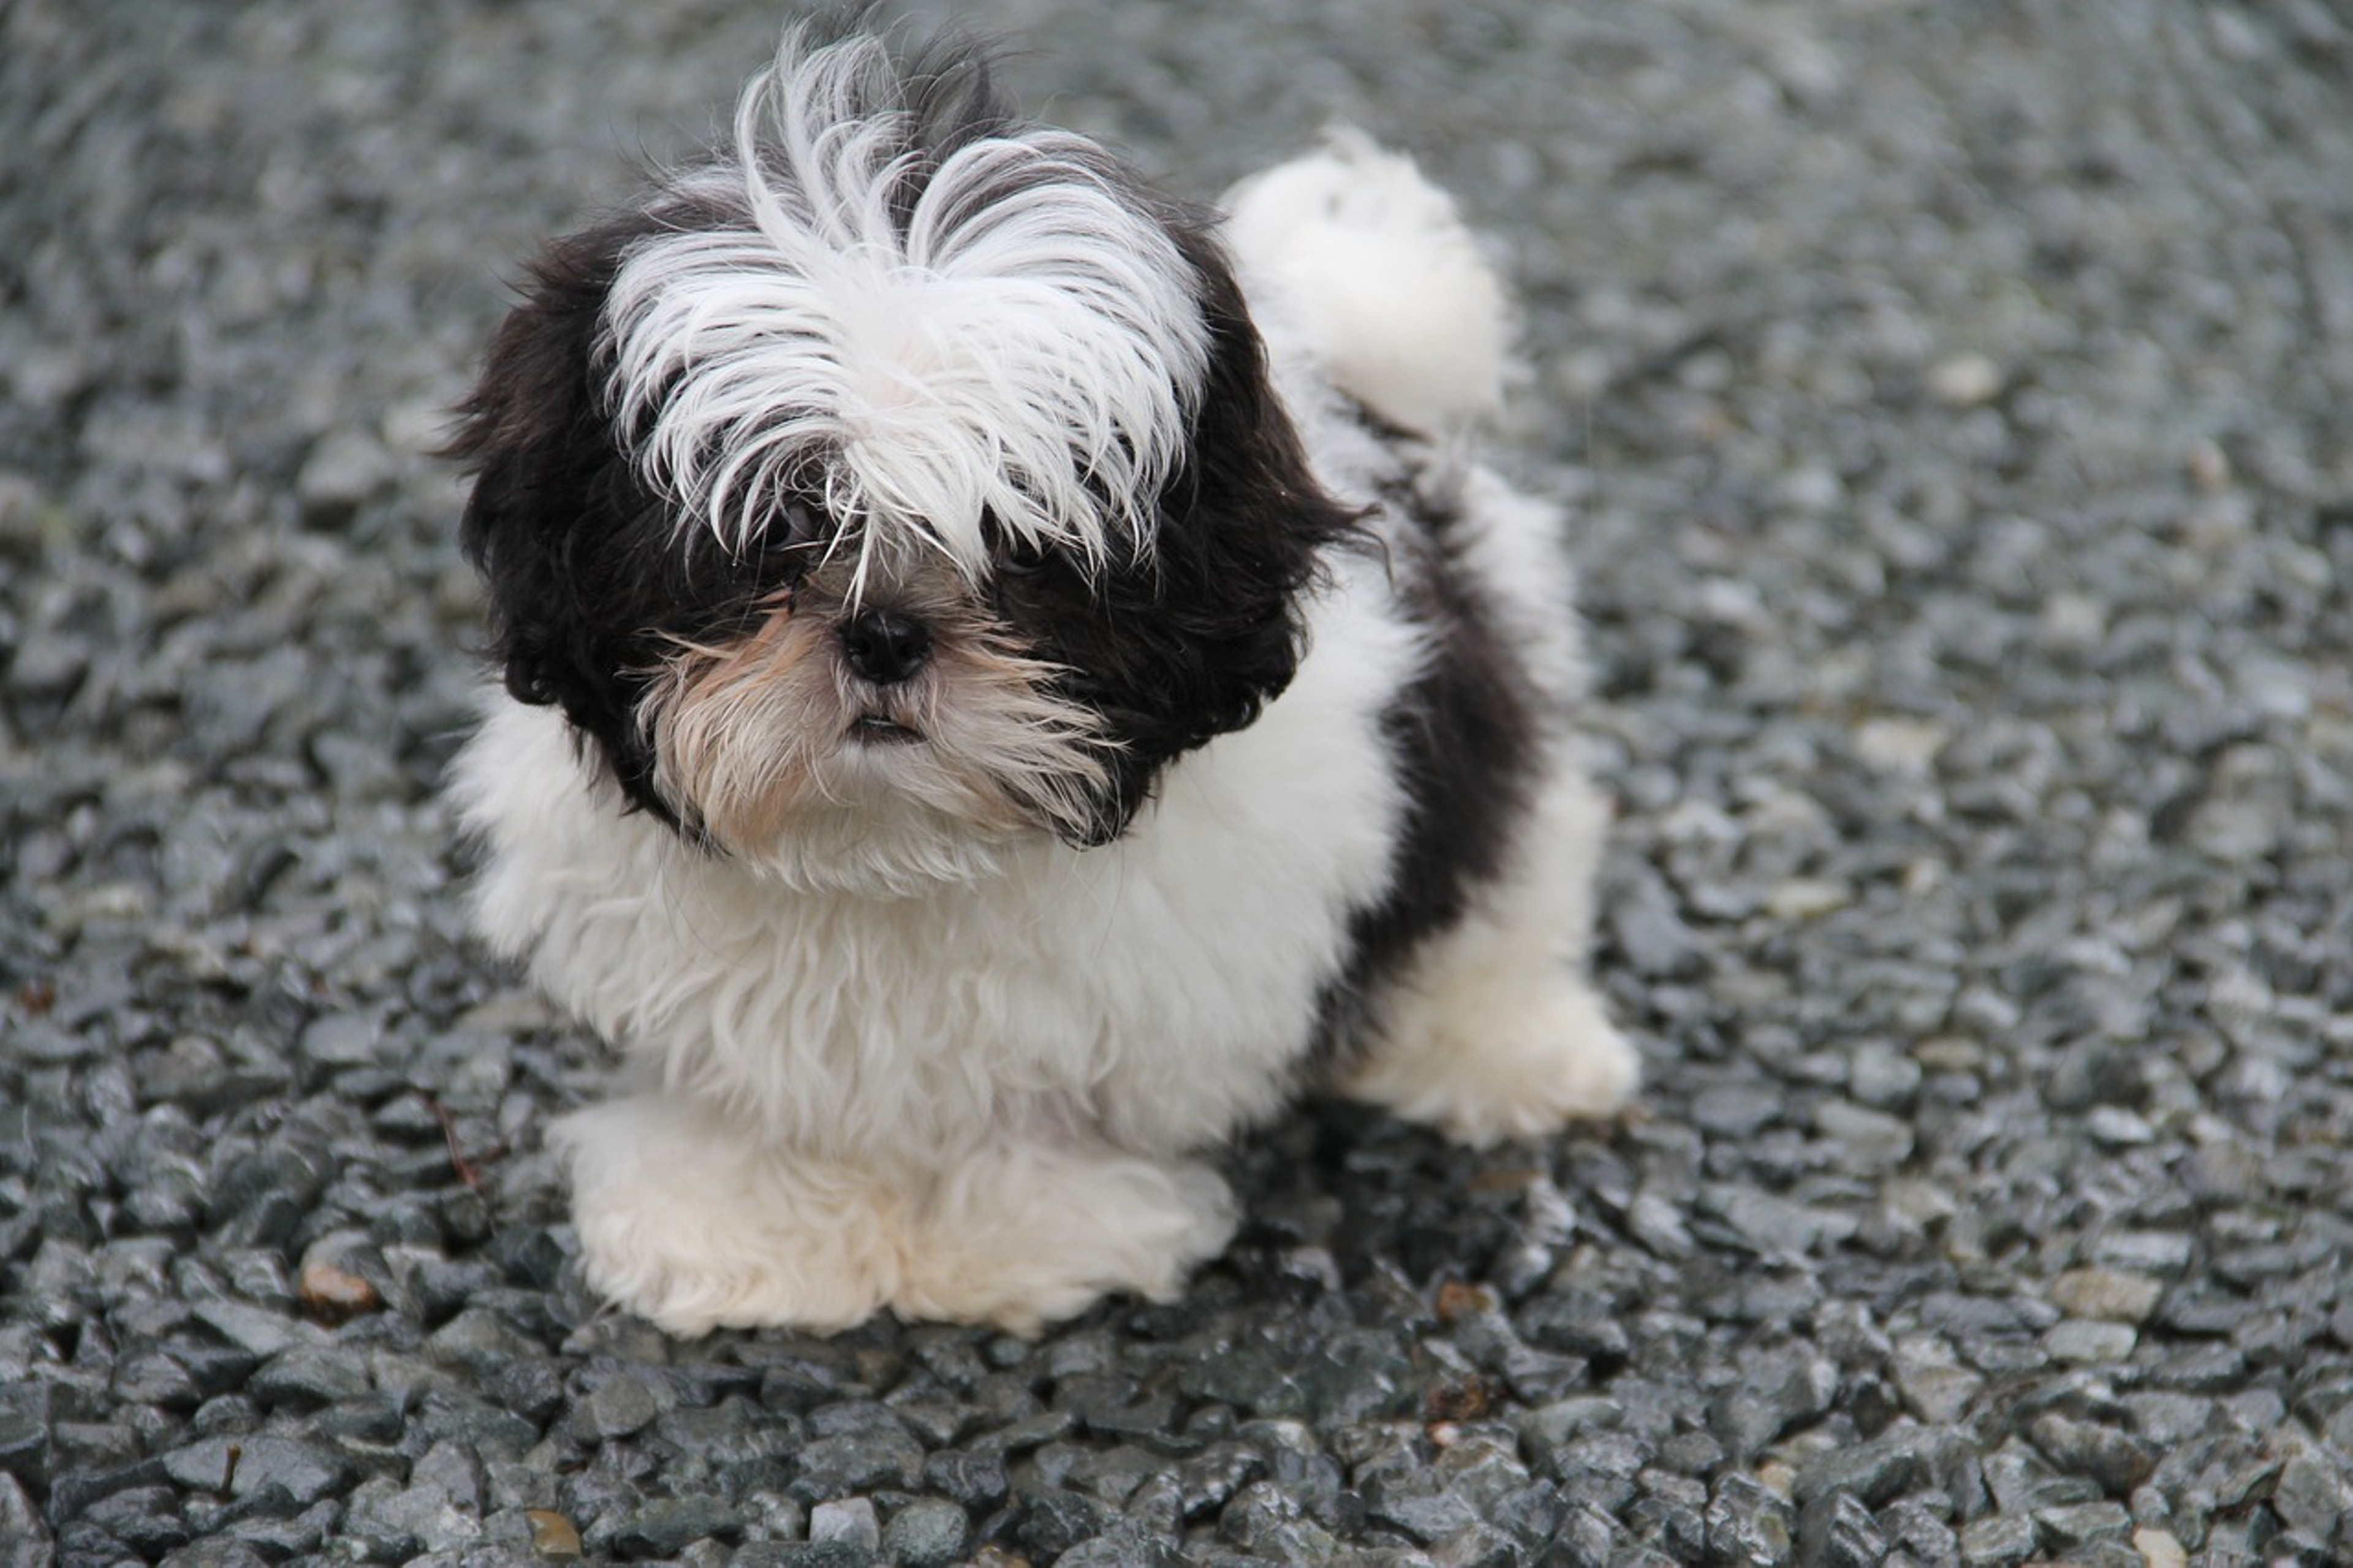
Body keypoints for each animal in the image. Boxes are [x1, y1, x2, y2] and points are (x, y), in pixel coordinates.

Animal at [444, 18, 1637, 1328]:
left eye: (1022, 549)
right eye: (777, 533)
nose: (885, 631)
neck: (892, 847)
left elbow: (1030, 1109)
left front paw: (1023, 1237)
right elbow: (758, 1099)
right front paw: (740, 1229)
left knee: (1507, 878)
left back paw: (1514, 1047)